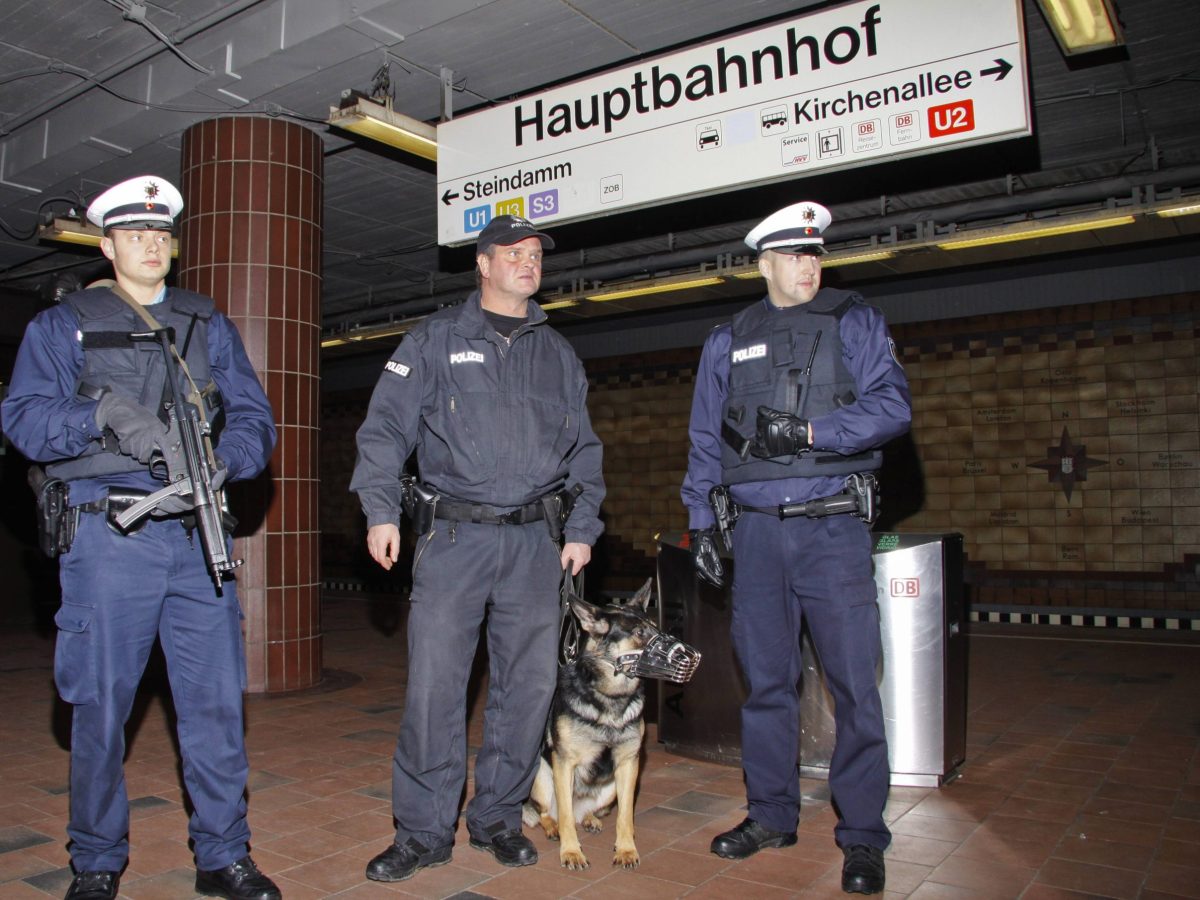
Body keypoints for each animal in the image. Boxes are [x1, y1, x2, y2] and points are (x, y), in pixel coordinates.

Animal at [525, 580, 657, 868]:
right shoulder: (564, 763)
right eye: (639, 632)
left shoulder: (628, 764)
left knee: (586, 813)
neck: (609, 699)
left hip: (610, 789)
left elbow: (625, 817)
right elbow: (565, 818)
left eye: (657, 627)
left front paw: (626, 849)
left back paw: (589, 819)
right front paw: (571, 852)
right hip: (542, 776)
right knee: (548, 813)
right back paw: (553, 827)